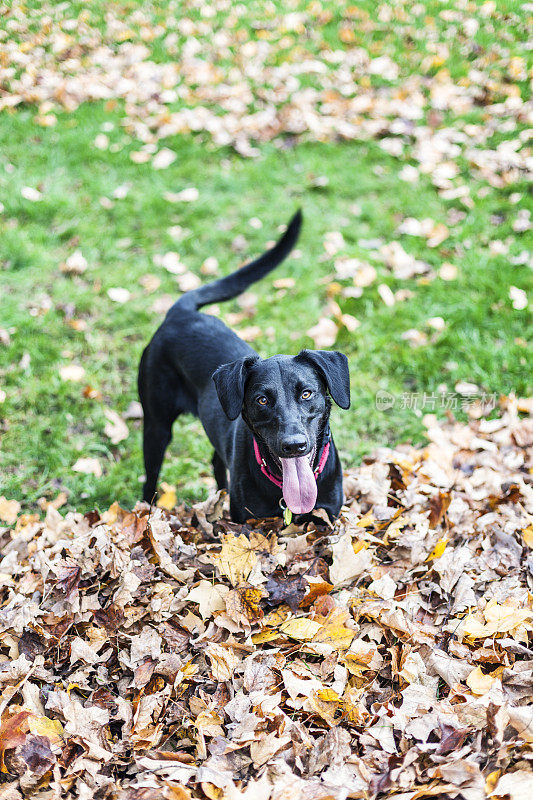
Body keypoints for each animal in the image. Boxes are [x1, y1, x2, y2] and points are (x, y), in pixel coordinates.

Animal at [139, 211, 352, 524]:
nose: (294, 445)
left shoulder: (330, 517)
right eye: (261, 400)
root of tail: (181, 312)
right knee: (150, 477)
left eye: (306, 394)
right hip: (156, 425)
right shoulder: (246, 523)